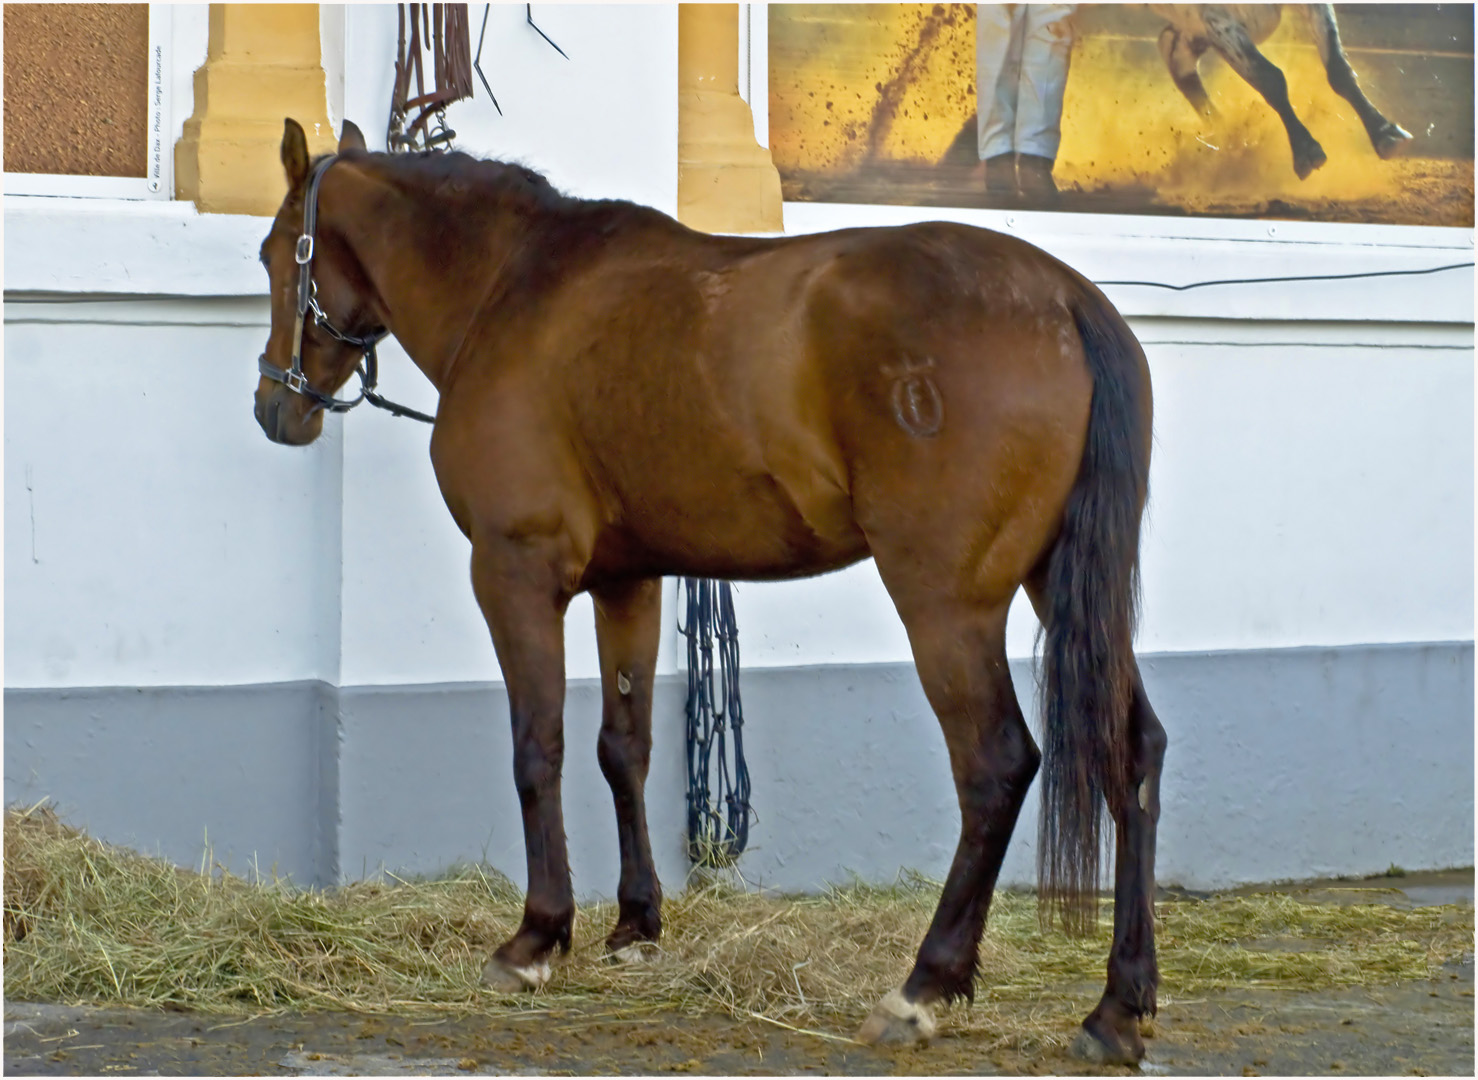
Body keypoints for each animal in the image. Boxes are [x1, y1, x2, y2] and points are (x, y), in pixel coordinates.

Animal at [260, 118, 1170, 1063]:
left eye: (274, 254)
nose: (275, 405)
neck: (512, 289)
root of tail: (1066, 303)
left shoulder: (515, 571)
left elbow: (537, 747)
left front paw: (536, 937)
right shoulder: (628, 583)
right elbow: (622, 748)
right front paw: (635, 923)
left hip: (947, 605)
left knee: (996, 765)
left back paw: (925, 984)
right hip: (1059, 588)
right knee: (1133, 753)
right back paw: (1118, 1005)